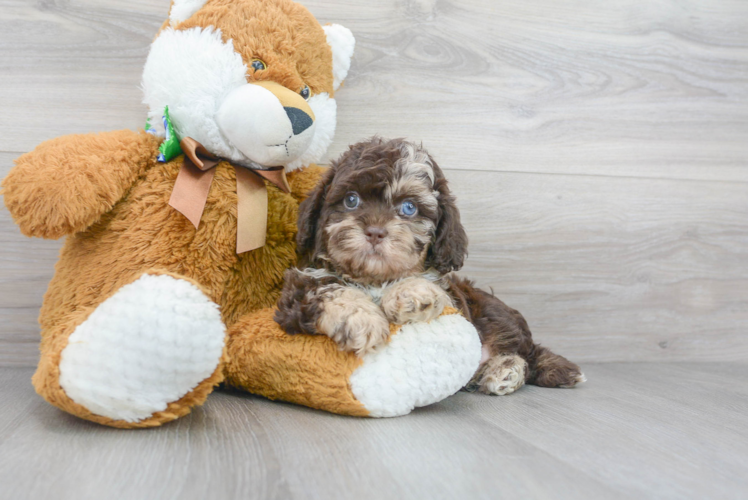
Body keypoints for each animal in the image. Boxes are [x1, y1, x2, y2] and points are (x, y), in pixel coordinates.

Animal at [274, 137, 584, 394]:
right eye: (351, 200)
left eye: (409, 208)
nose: (375, 231)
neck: (372, 278)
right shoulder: (298, 288)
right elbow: (329, 288)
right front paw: (359, 318)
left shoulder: (452, 298)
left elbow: (423, 282)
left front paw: (410, 293)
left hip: (493, 313)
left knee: (526, 354)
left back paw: (505, 370)